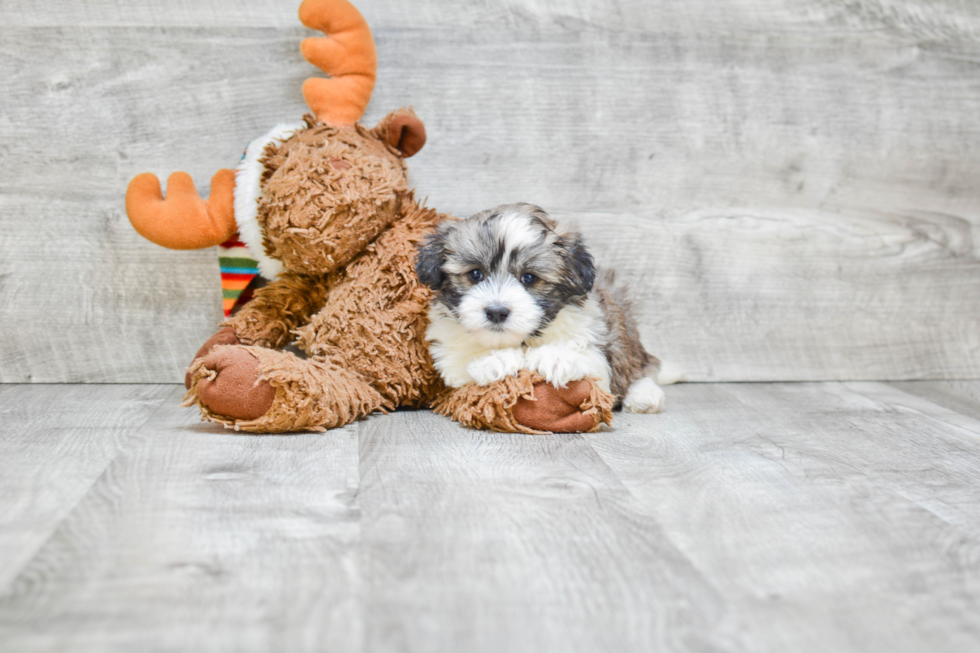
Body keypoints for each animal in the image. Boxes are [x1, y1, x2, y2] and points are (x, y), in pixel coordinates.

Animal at [414, 202, 668, 412]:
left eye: (529, 278)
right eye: (475, 274)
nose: (496, 312)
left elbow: (592, 363)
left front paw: (558, 357)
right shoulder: (448, 356)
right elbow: (460, 363)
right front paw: (494, 359)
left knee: (639, 365)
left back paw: (644, 395)